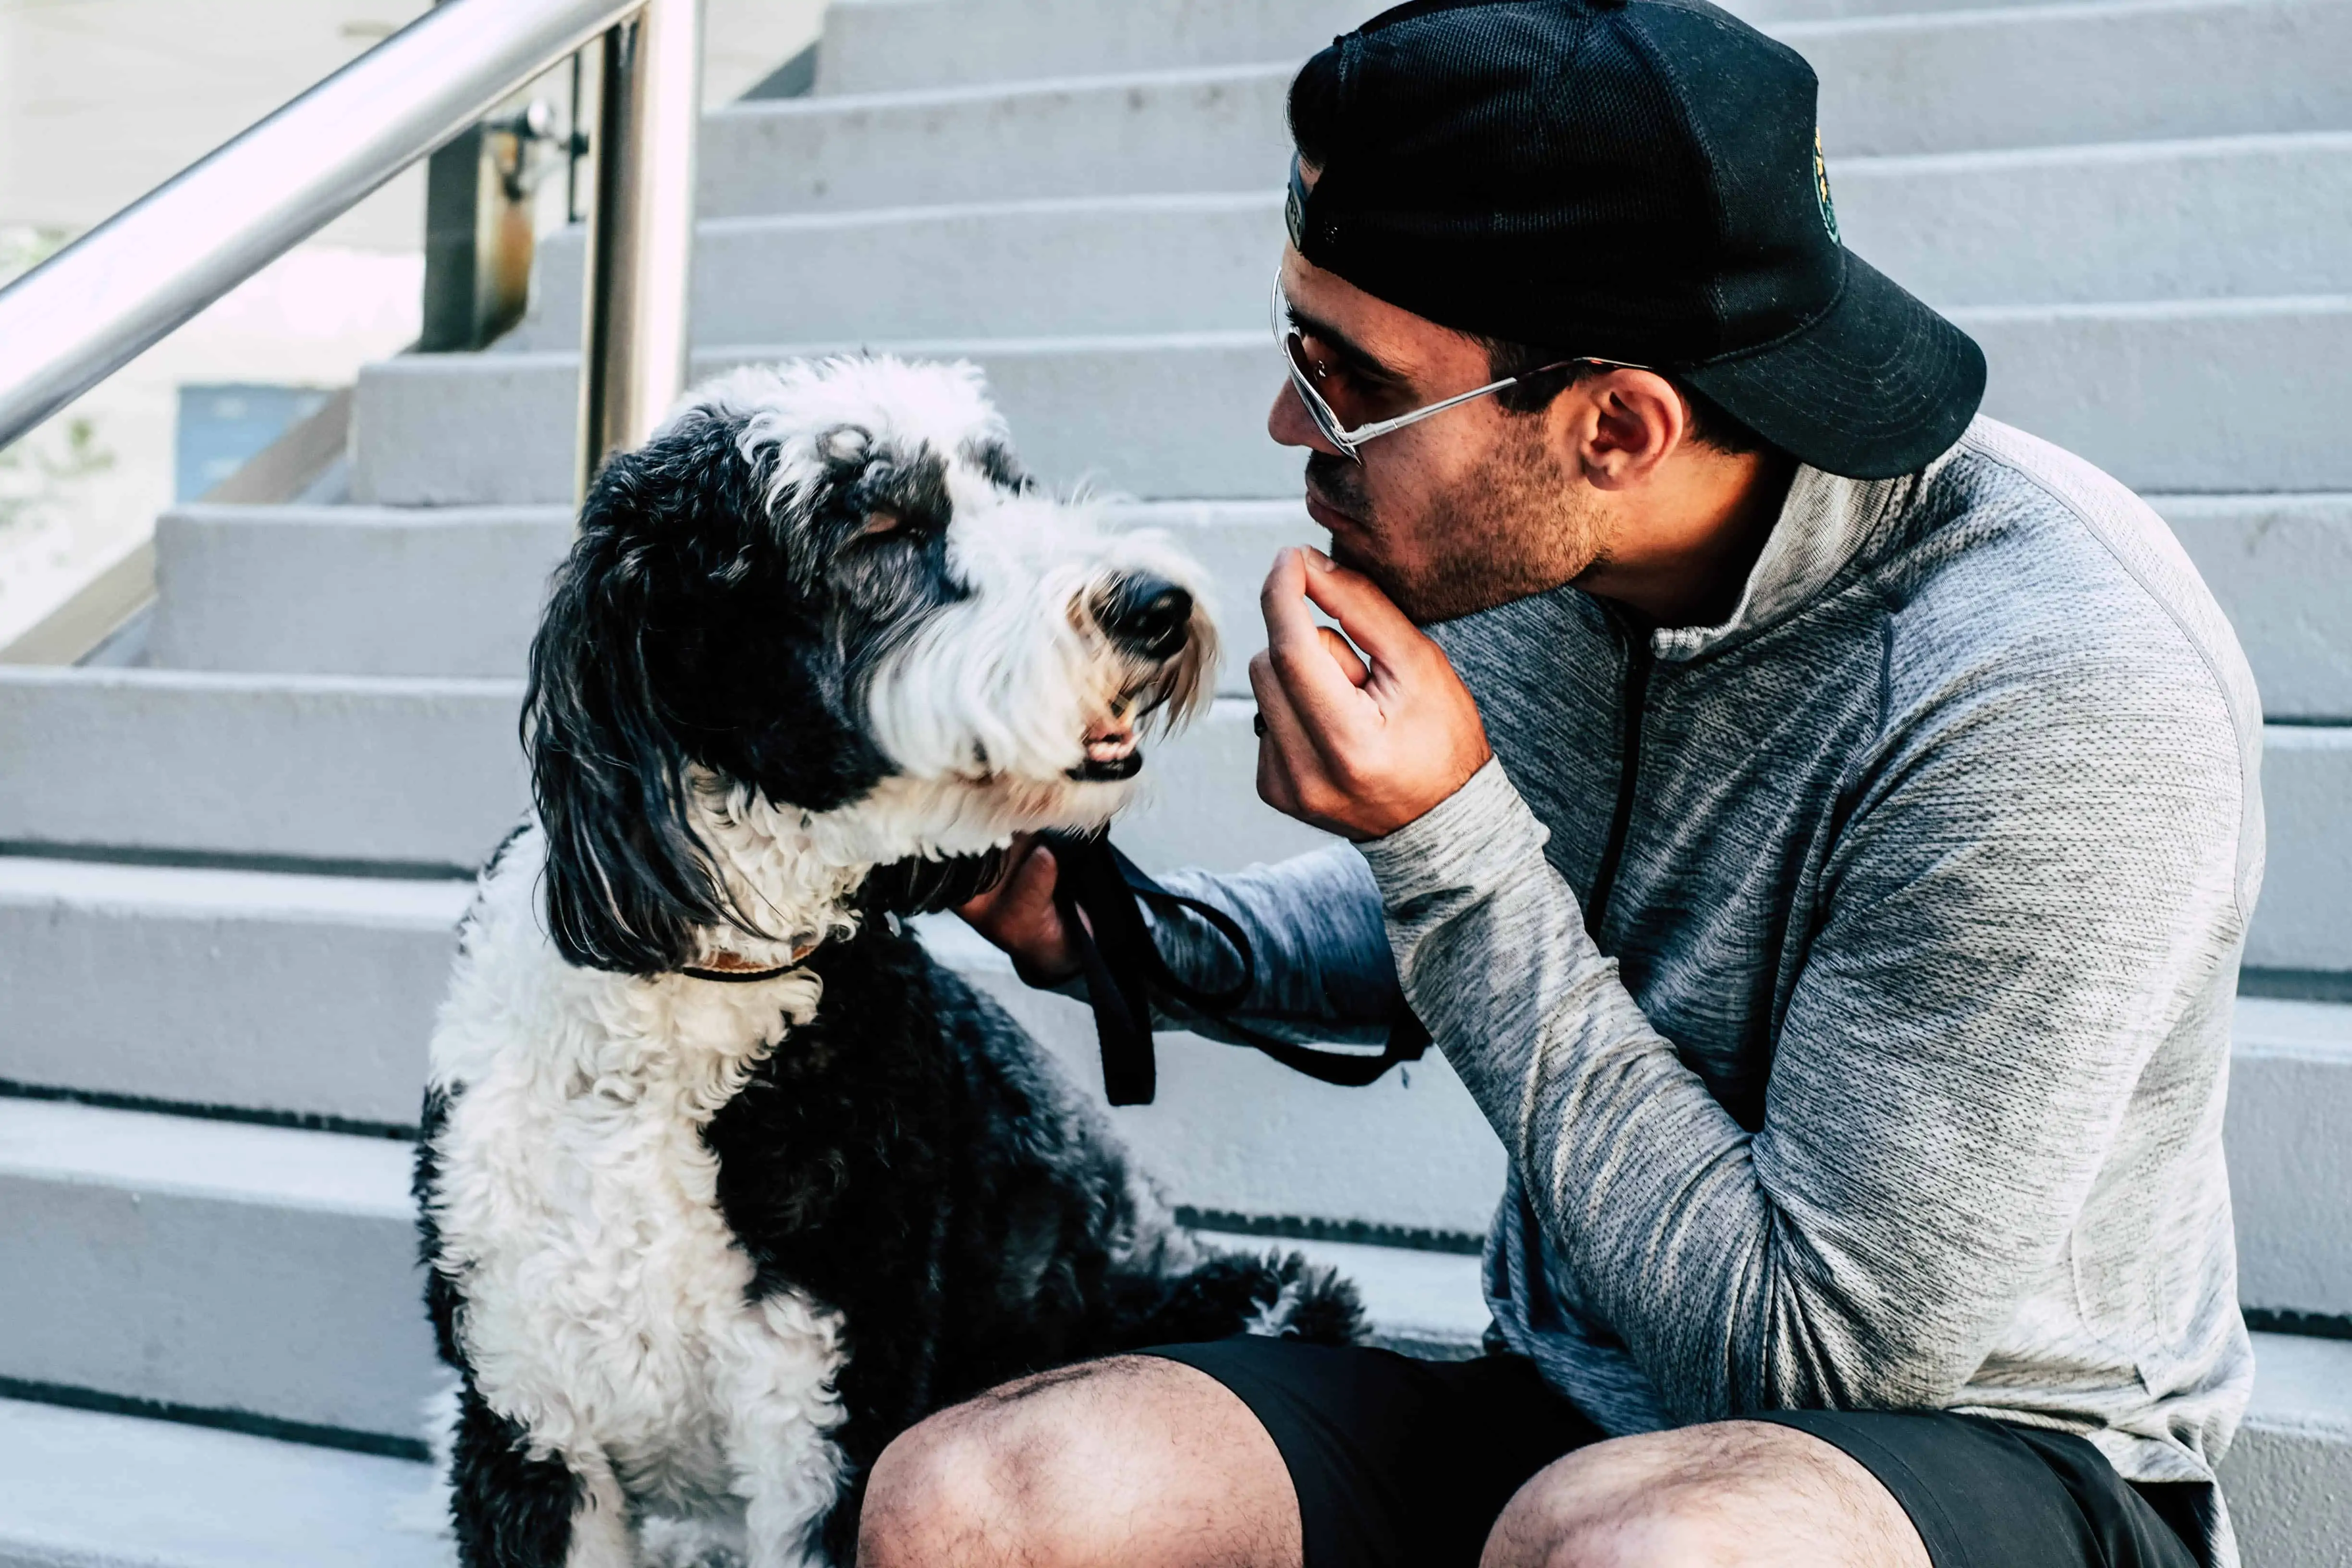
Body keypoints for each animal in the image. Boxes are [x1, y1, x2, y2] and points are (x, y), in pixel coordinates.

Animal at [416, 359, 1373, 1568]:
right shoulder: (527, 1424)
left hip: (1262, 1298)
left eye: (1011, 486)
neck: (701, 983)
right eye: (874, 526)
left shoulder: (832, 1411)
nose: (1154, 602)